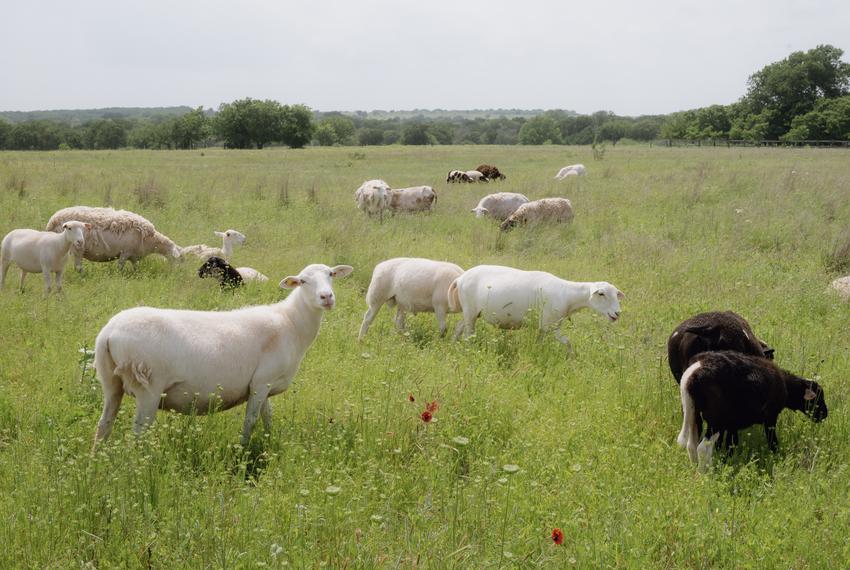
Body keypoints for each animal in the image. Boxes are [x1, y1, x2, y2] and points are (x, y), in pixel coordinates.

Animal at [45, 205, 181, 270]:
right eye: (180, 259)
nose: (178, 273)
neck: (151, 240)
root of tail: (52, 221)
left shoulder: (134, 256)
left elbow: (136, 268)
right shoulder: (126, 252)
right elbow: (120, 267)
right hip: (77, 247)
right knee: (78, 267)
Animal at [93, 260, 354, 444]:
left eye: (331, 275)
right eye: (302, 281)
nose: (327, 297)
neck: (290, 322)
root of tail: (109, 332)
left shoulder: (265, 384)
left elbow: (267, 418)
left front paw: (270, 445)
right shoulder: (261, 383)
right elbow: (250, 422)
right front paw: (243, 451)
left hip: (111, 382)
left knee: (103, 425)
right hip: (149, 387)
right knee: (138, 432)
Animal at [444, 262, 624, 346]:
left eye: (616, 295)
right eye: (601, 294)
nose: (617, 313)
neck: (567, 295)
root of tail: (460, 278)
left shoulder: (544, 327)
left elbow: (541, 342)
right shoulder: (550, 324)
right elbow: (567, 342)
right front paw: (572, 359)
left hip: (470, 311)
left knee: (459, 327)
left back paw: (453, 345)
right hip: (470, 311)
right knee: (468, 333)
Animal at [676, 348, 828, 468]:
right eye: (818, 398)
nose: (824, 414)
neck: (786, 385)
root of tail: (694, 372)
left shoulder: (732, 424)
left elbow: (731, 444)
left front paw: (727, 461)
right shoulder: (771, 416)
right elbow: (772, 441)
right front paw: (777, 457)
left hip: (693, 412)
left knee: (691, 445)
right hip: (716, 419)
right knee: (703, 447)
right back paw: (705, 474)